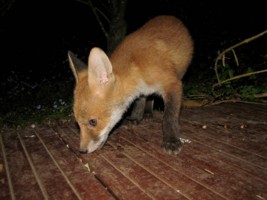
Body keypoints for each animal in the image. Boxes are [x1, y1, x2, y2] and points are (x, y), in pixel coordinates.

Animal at [68, 15, 195, 155]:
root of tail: (168, 16)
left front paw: (171, 139)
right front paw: (136, 117)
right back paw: (146, 113)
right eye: (77, 123)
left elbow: (169, 115)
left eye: (93, 122)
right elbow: (139, 101)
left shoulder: (173, 83)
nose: (82, 151)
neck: (137, 70)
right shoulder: (140, 89)